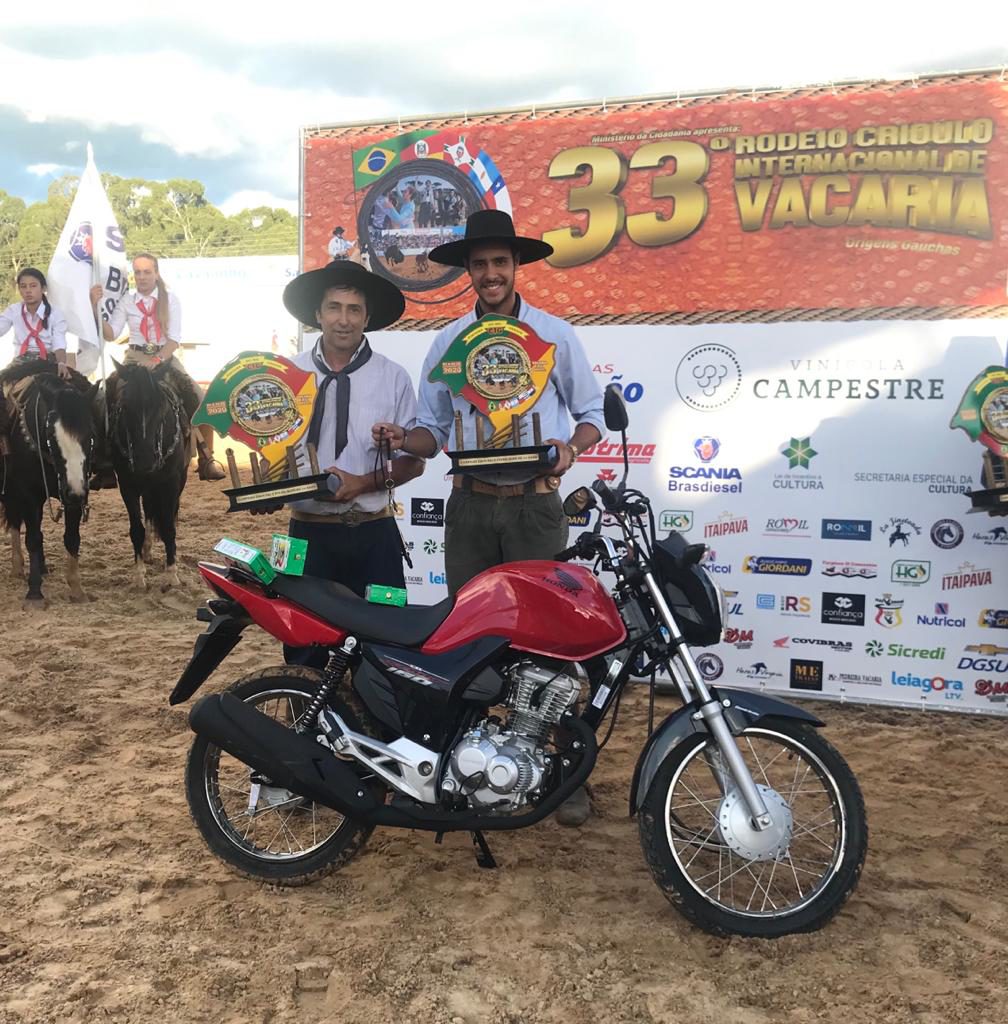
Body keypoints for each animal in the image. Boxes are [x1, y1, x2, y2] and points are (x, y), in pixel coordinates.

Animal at [0, 360, 97, 602]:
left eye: (90, 433)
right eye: (51, 435)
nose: (74, 491)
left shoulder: (74, 494)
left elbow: (71, 538)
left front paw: (77, 590)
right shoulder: (28, 494)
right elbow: (32, 538)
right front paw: (34, 592)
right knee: (15, 522)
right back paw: (18, 567)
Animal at [108, 360, 190, 589]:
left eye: (161, 407)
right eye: (125, 406)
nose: (144, 461)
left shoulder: (170, 484)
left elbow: (169, 527)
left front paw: (172, 574)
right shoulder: (128, 485)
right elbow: (137, 529)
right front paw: (139, 576)